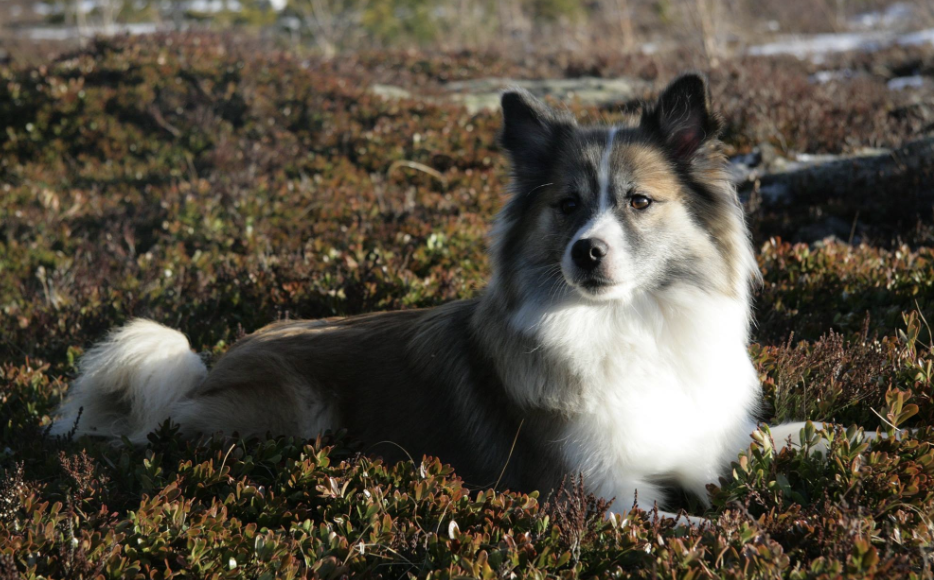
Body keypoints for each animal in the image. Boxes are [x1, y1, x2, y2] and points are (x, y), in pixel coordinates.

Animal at [53, 72, 828, 520]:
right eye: (568, 206)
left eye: (639, 201)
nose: (587, 252)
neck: (630, 326)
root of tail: (208, 369)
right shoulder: (596, 498)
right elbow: (696, 523)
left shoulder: (705, 447)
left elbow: (785, 436)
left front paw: (840, 436)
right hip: (292, 414)